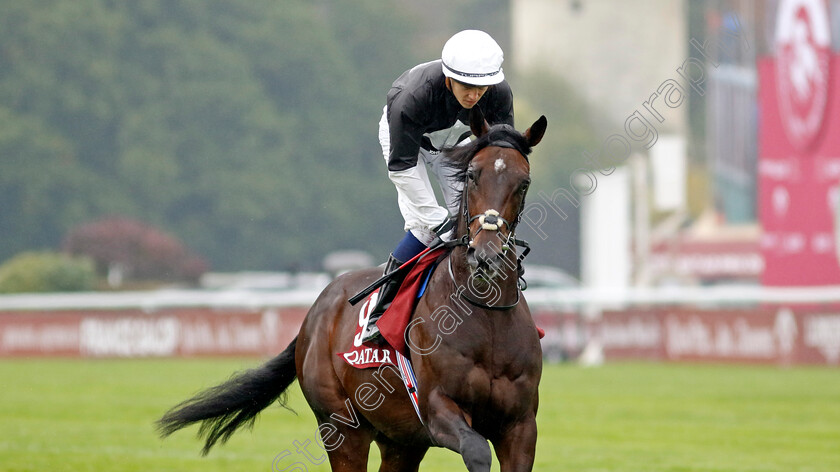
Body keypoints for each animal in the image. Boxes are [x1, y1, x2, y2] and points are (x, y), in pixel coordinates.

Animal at [158, 108, 548, 472]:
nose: (486, 255)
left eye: (524, 182)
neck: (484, 315)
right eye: (471, 175)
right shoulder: (437, 409)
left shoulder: (520, 426)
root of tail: (315, 311)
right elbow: (477, 450)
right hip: (343, 428)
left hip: (401, 439)